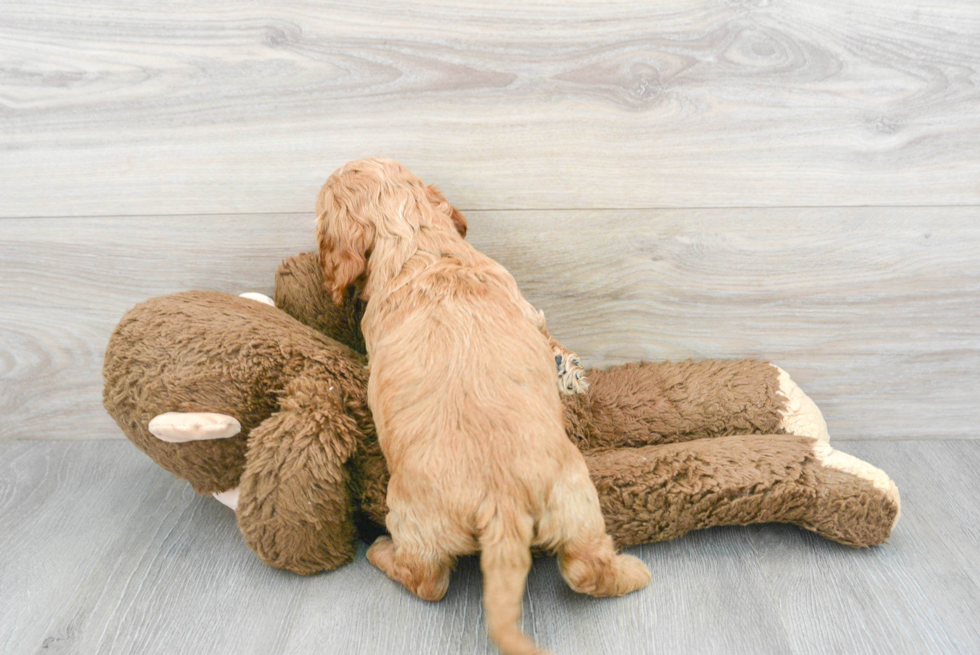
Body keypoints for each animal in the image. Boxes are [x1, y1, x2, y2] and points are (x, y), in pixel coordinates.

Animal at [316, 159, 652, 655]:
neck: (420, 243)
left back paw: (380, 551)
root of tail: (503, 500)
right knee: (584, 567)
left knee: (428, 581)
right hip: (576, 497)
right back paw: (633, 573)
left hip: (415, 517)